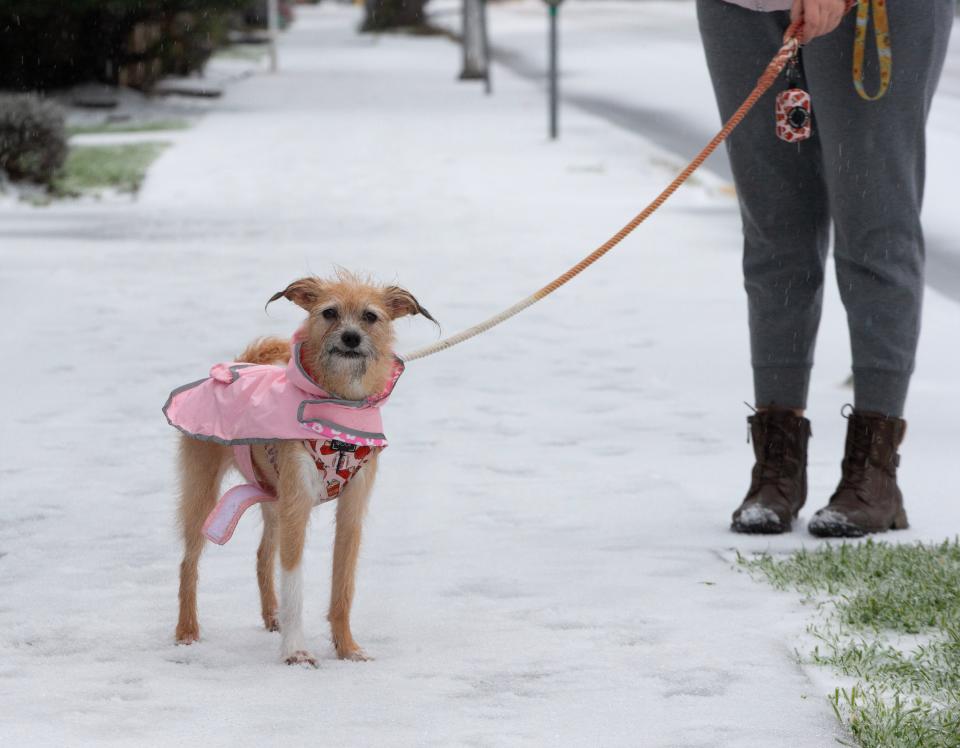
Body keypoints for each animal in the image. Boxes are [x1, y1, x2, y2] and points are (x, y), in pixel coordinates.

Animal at [172, 274, 436, 668]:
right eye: (329, 312)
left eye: (370, 316)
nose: (350, 338)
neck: (339, 408)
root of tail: (236, 365)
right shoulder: (297, 503)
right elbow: (294, 584)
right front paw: (296, 650)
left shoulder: (351, 509)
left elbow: (343, 587)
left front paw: (347, 648)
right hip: (203, 490)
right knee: (189, 562)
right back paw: (187, 631)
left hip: (271, 495)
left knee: (263, 555)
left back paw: (272, 617)